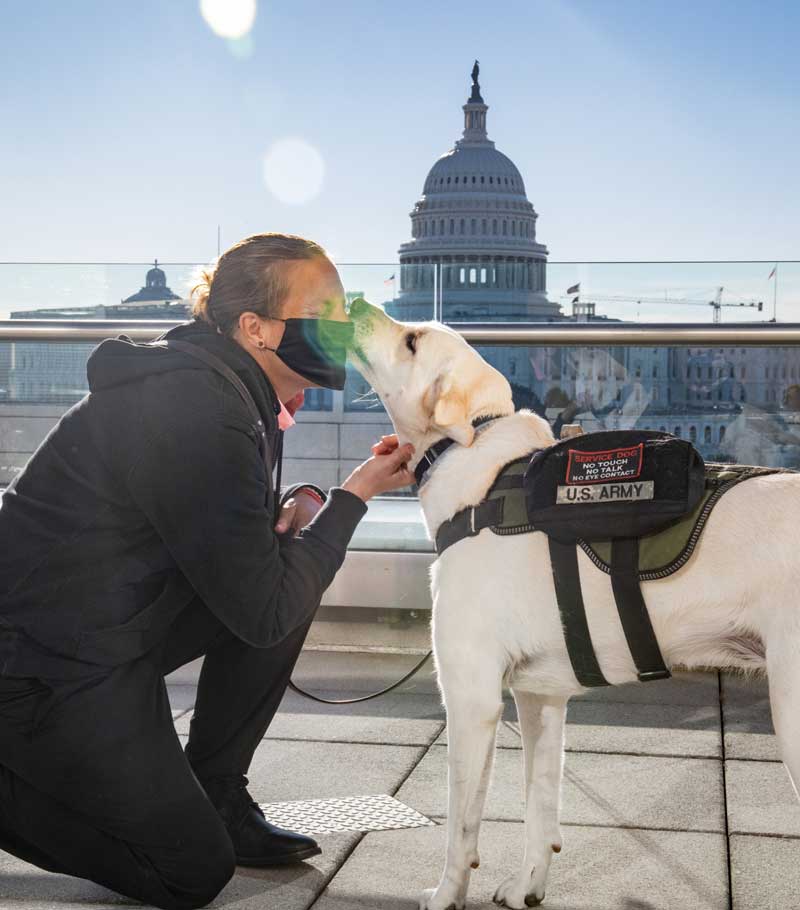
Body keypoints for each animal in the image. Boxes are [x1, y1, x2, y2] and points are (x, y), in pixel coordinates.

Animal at [346, 302, 796, 910]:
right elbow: (540, 805)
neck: (471, 460)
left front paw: (446, 895)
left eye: (412, 340)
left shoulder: (471, 699)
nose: (354, 303)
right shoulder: (541, 698)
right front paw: (527, 887)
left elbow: (462, 825)